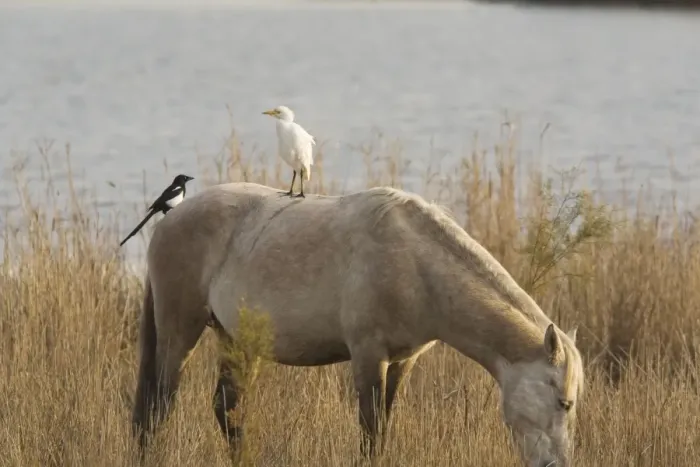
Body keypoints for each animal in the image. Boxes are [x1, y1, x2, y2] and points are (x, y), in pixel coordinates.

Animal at [131, 182, 584, 467]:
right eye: (564, 402)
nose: (555, 465)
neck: (417, 263)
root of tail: (167, 222)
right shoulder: (368, 356)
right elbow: (371, 433)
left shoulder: (402, 361)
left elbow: (383, 428)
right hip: (179, 330)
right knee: (158, 408)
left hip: (238, 341)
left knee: (226, 409)